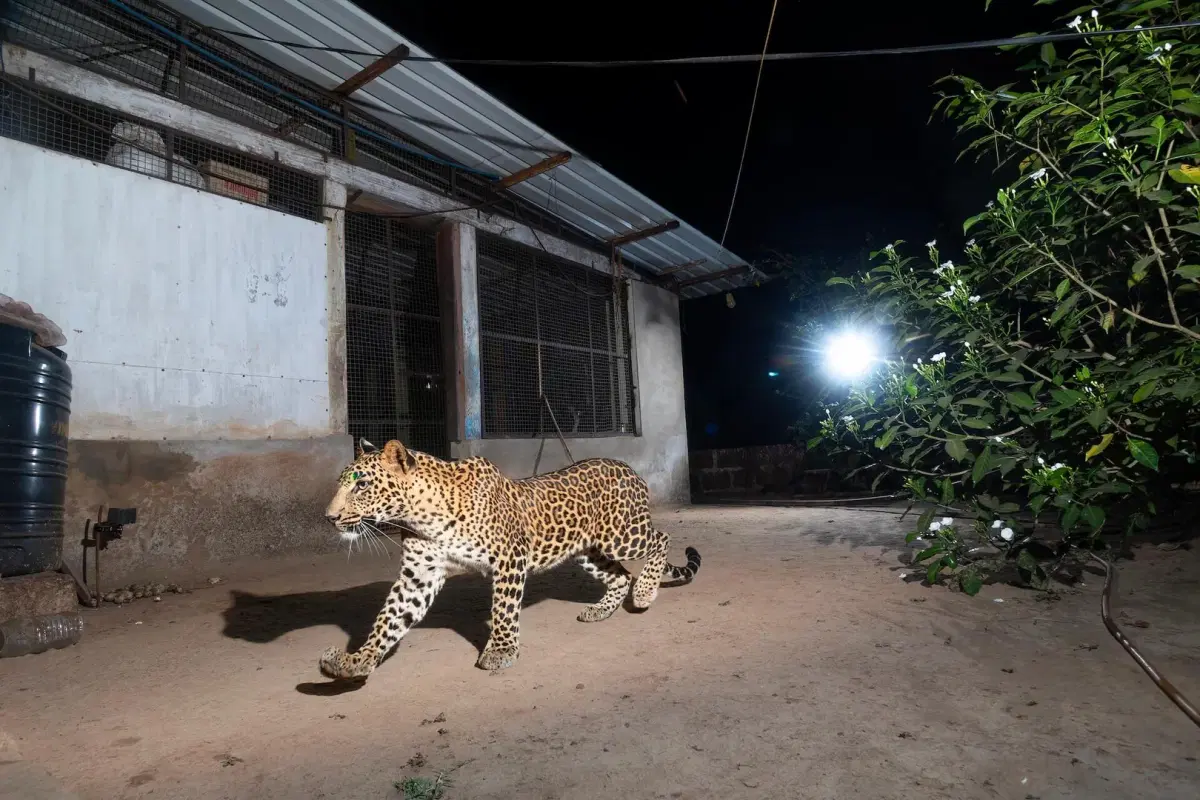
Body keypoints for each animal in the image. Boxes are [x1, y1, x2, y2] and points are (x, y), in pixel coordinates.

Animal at [319, 438, 701, 679]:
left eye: (362, 485)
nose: (329, 517)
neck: (421, 514)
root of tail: (628, 468)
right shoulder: (420, 573)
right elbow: (389, 619)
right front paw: (357, 660)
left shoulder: (509, 557)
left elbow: (503, 608)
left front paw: (501, 651)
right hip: (586, 549)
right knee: (620, 576)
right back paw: (599, 611)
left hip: (620, 536)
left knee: (660, 540)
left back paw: (646, 592)